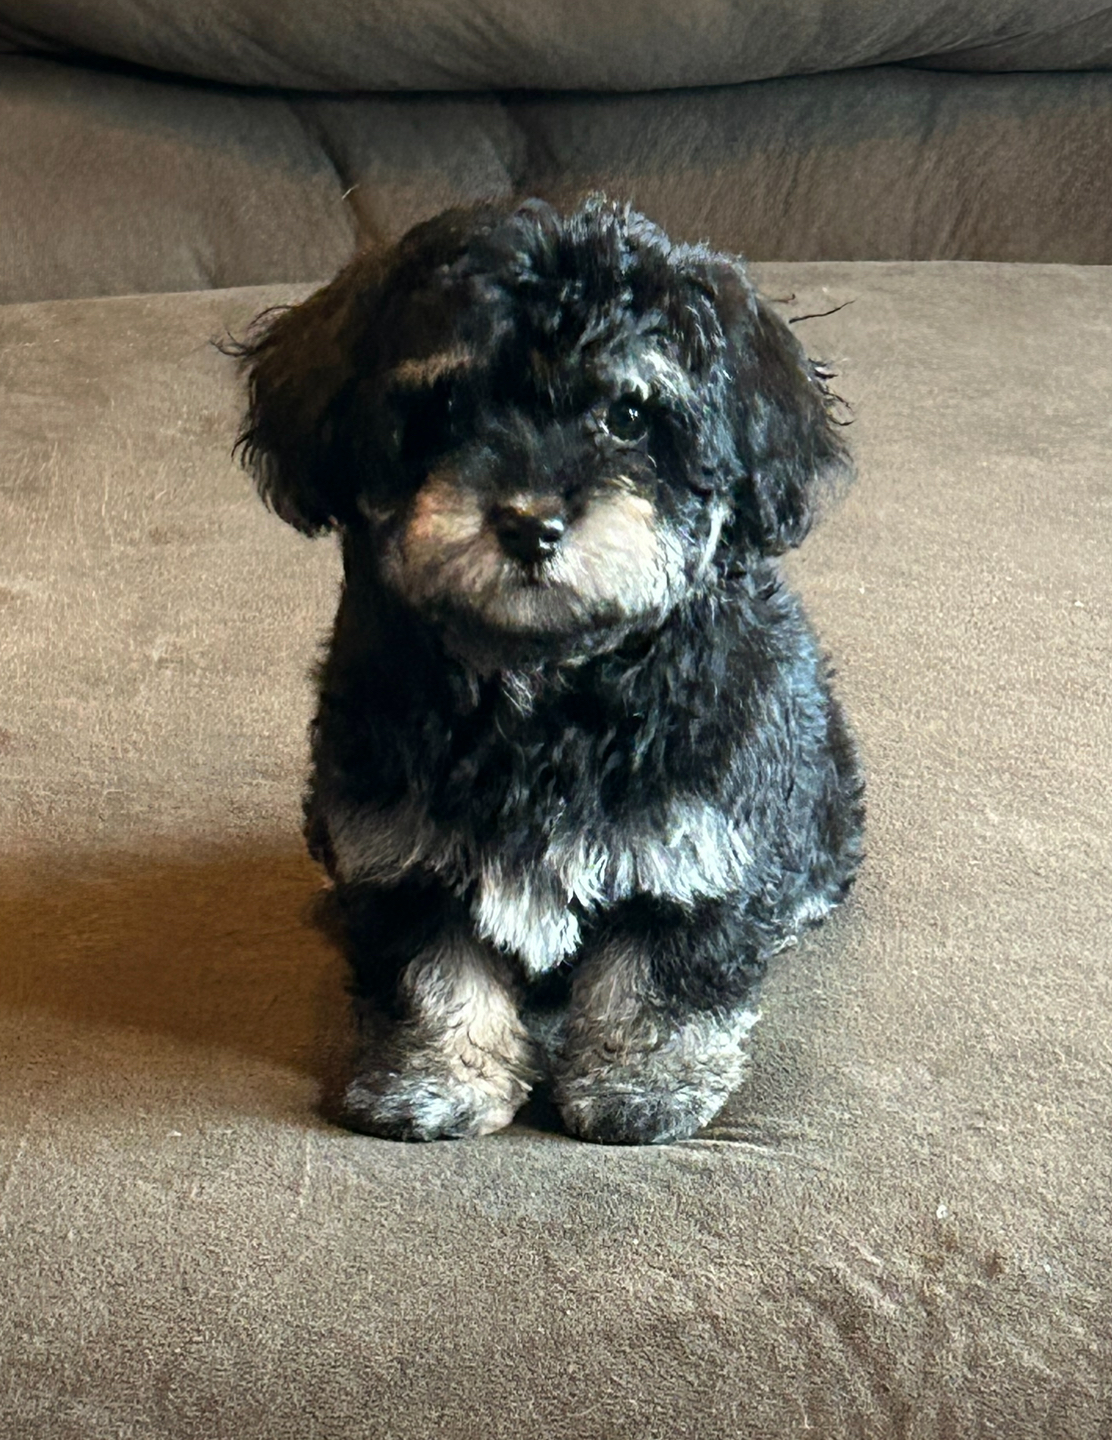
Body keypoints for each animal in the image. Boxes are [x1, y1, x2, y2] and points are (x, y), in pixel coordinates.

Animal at [230, 200, 864, 1146]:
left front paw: (644, 1083)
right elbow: (433, 971)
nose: (530, 523)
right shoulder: (399, 845)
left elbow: (663, 967)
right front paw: (436, 1081)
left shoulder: (696, 836)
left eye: (630, 415)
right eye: (446, 405)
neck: (543, 685)